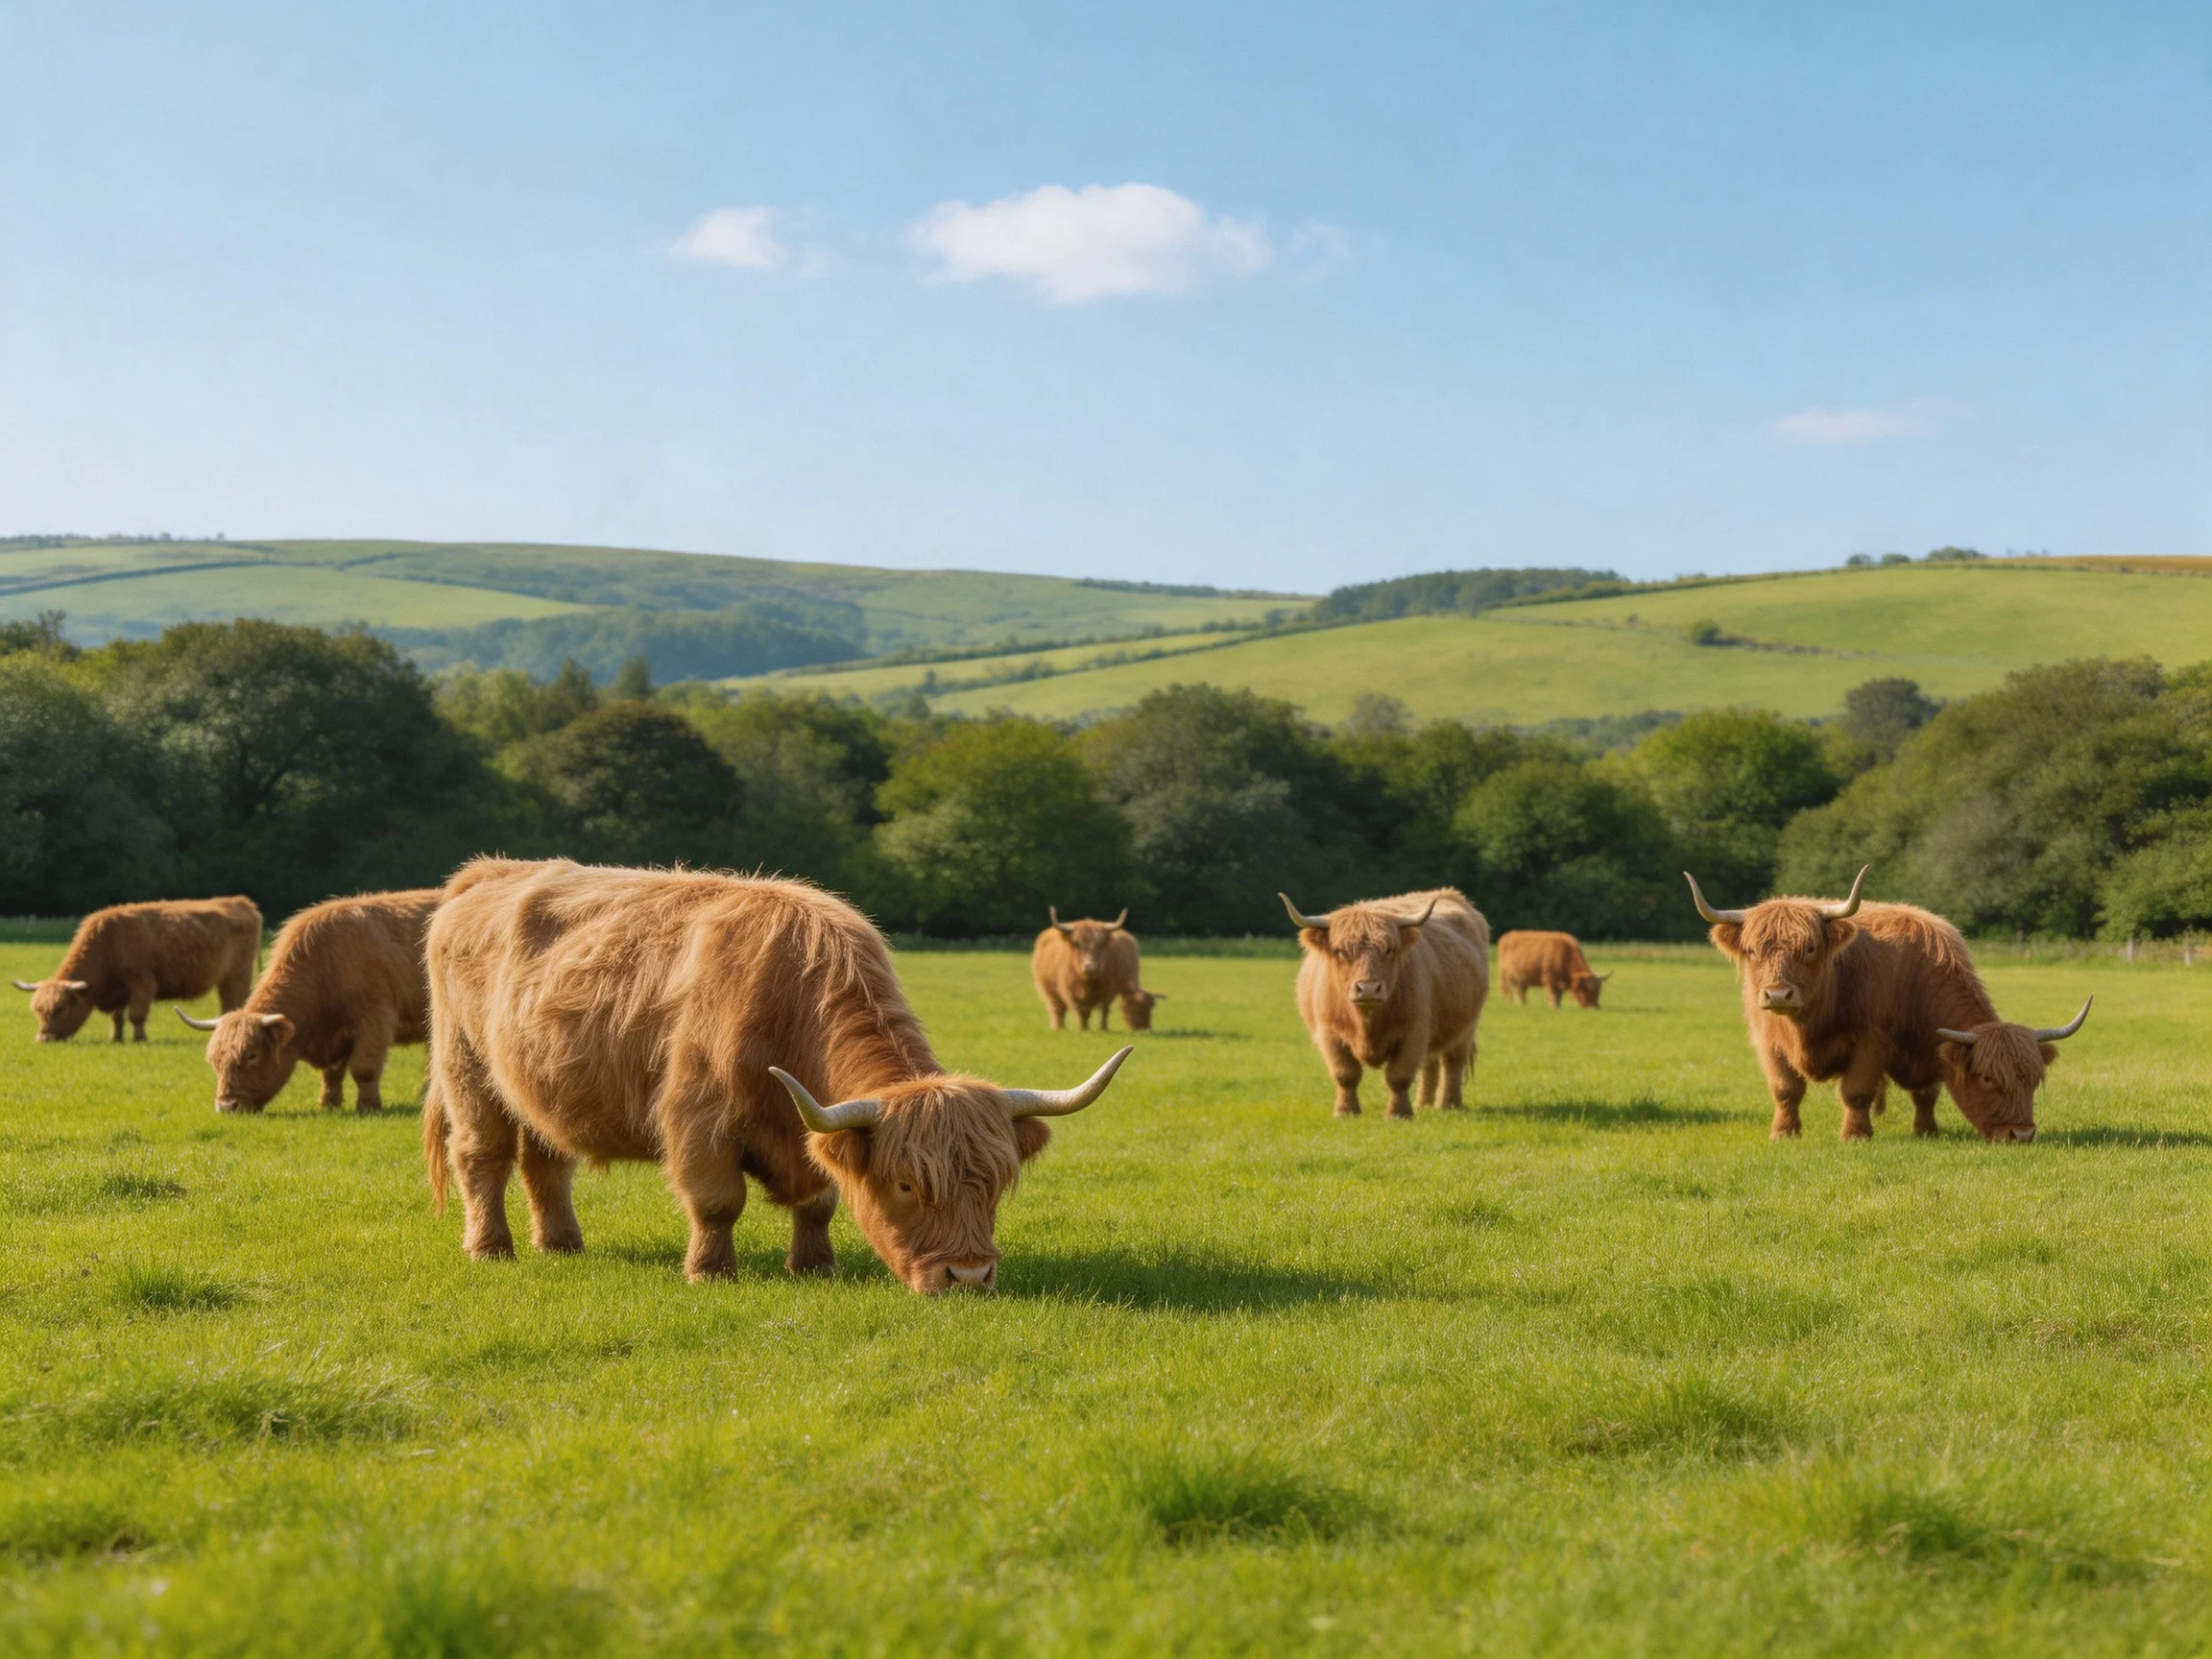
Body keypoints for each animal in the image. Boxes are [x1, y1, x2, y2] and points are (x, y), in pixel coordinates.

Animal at [14, 898, 260, 1043]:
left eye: (62, 1008)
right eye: (38, 1010)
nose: (43, 1038)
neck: (109, 942)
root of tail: (239, 901)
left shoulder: (143, 983)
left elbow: (136, 1015)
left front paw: (140, 1038)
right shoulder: (119, 991)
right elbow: (117, 1017)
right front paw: (115, 1037)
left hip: (238, 976)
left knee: (234, 1002)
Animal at [175, 888, 439, 1115]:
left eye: (252, 1055)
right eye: (216, 1061)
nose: (227, 1106)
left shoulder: (374, 1020)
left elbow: (363, 1068)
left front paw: (368, 1106)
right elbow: (332, 1073)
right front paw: (328, 1103)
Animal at [423, 859, 1132, 1294]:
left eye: (994, 1184)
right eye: (905, 1184)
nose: (969, 1278)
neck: (791, 998)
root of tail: (489, 872)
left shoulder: (811, 1131)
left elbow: (818, 1200)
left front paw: (815, 1266)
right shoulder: (698, 1118)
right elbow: (717, 1202)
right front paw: (710, 1273)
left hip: (536, 1083)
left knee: (546, 1162)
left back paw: (561, 1245)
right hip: (467, 1068)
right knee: (483, 1157)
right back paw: (491, 1248)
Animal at [1281, 887, 1490, 1119]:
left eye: (1390, 950)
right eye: (1340, 951)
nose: (1368, 988)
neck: (1367, 1021)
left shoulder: (1413, 1032)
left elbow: (1399, 1076)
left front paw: (1398, 1114)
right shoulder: (1329, 1033)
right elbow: (1345, 1074)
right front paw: (1345, 1112)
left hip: (1466, 1028)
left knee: (1453, 1063)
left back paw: (1449, 1105)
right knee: (1430, 1064)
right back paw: (1423, 1105)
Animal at [1687, 866, 2091, 1143]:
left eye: (1811, 948)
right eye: (1988, 1078)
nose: (2021, 1134)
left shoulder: (1918, 1047)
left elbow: (1921, 1094)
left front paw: (1926, 1131)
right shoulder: (1774, 1041)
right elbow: (1794, 1089)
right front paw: (1802, 1134)